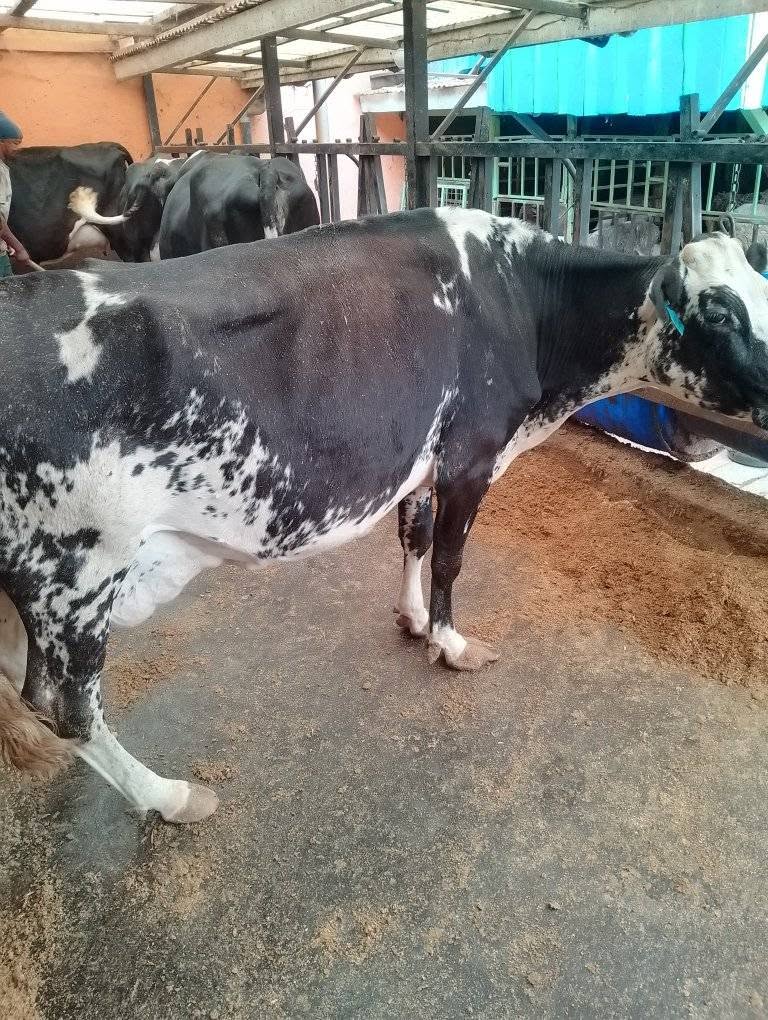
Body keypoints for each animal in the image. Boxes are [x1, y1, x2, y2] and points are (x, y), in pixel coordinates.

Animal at [0, 207, 766, 824]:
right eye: (720, 314)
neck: (521, 301)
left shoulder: (424, 463)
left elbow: (415, 538)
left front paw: (414, 617)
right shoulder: (470, 453)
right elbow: (451, 558)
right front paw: (451, 643)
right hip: (76, 567)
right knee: (65, 704)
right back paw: (170, 797)